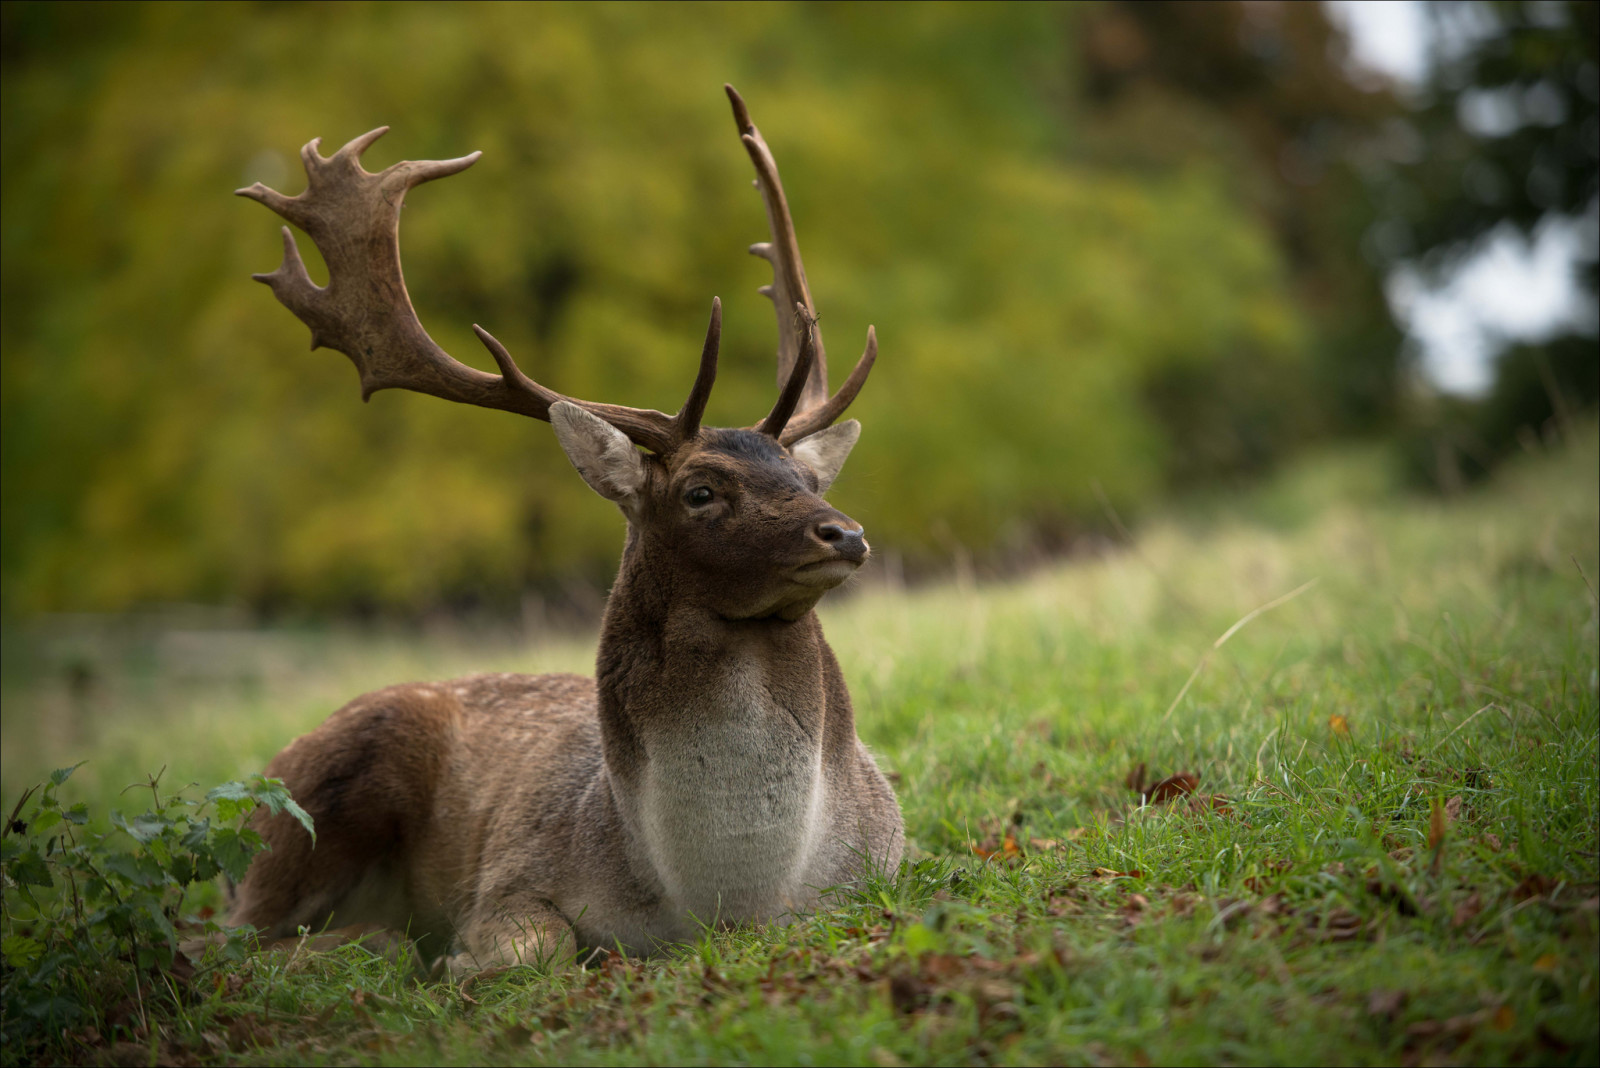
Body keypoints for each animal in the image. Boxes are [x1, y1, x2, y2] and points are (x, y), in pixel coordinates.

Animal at [227, 87, 908, 972]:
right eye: (700, 490)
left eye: (808, 478)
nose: (845, 533)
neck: (725, 898)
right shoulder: (513, 874)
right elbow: (534, 948)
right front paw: (456, 959)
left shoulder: (887, 863)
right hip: (308, 802)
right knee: (224, 939)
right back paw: (381, 939)